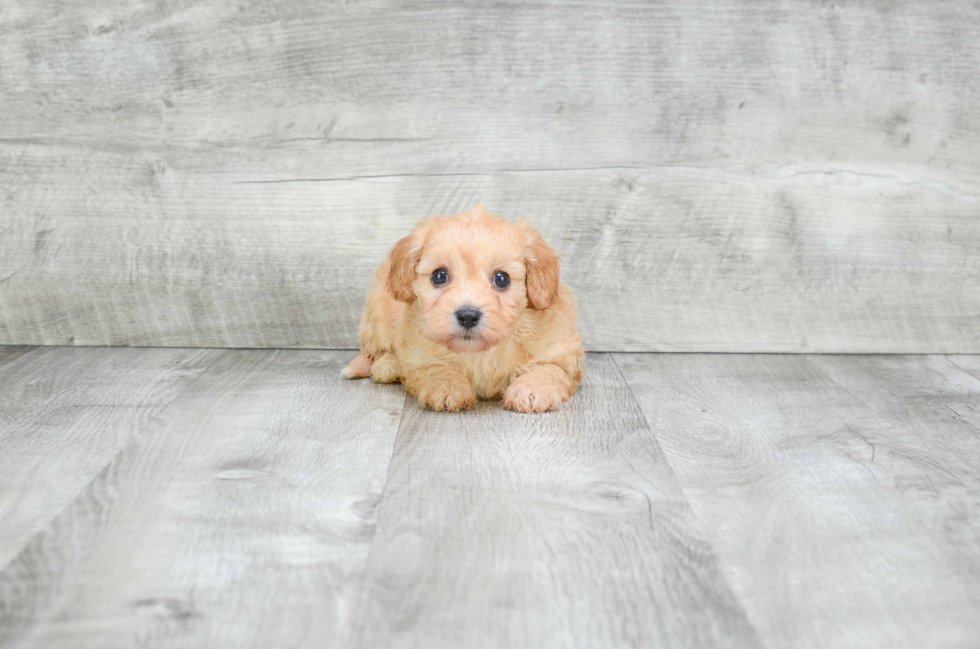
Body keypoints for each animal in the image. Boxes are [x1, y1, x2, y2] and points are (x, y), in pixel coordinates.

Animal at [344, 205, 580, 412]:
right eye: (439, 276)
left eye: (501, 279)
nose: (467, 316)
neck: (479, 351)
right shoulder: (417, 356)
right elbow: (434, 369)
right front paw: (447, 387)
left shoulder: (560, 351)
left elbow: (549, 368)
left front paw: (531, 390)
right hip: (379, 314)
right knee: (375, 351)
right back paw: (387, 366)